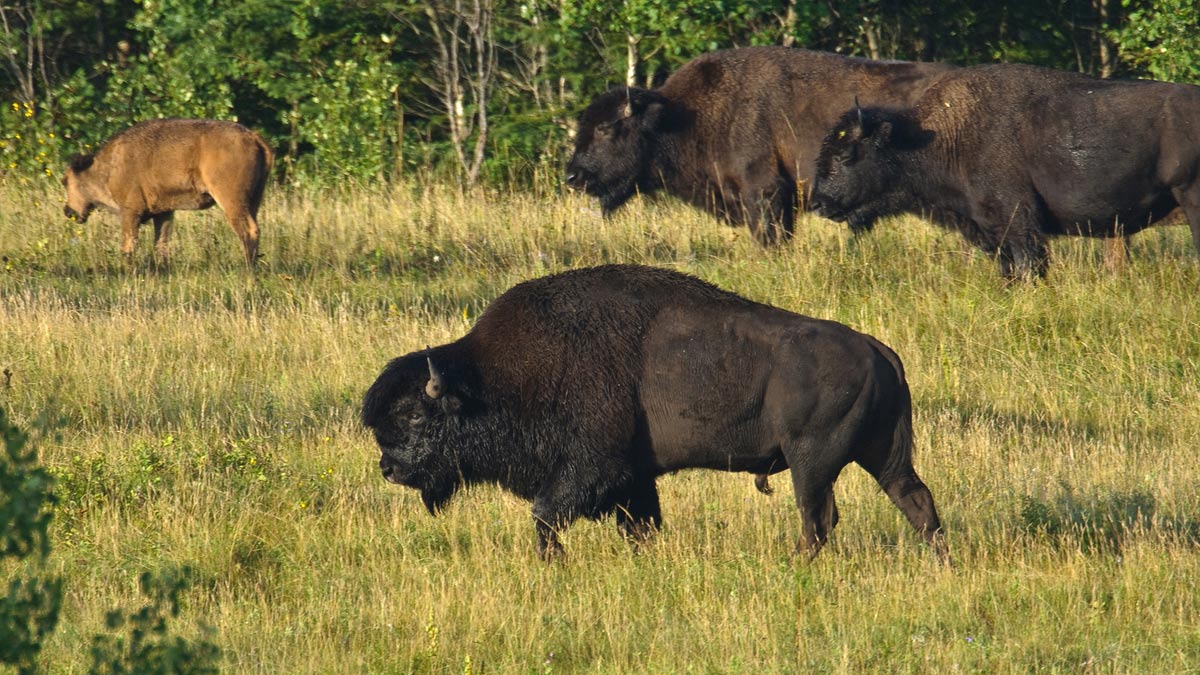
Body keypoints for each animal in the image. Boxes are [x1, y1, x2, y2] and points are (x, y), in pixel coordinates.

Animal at [63, 118, 276, 267]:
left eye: (65, 181)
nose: (68, 211)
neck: (108, 167)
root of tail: (254, 137)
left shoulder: (130, 211)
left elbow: (129, 245)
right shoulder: (164, 212)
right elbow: (161, 243)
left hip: (231, 200)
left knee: (248, 230)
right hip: (254, 200)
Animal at [360, 263, 940, 557]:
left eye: (416, 416)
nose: (389, 468)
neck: (489, 378)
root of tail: (876, 350)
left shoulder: (591, 468)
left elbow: (546, 515)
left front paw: (553, 563)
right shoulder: (633, 481)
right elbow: (640, 525)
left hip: (812, 463)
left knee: (818, 518)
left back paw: (791, 563)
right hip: (882, 454)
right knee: (916, 502)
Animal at [811, 63, 1200, 278]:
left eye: (846, 155)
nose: (817, 203)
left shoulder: (1018, 224)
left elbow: (1029, 267)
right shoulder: (992, 232)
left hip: (1191, 199)